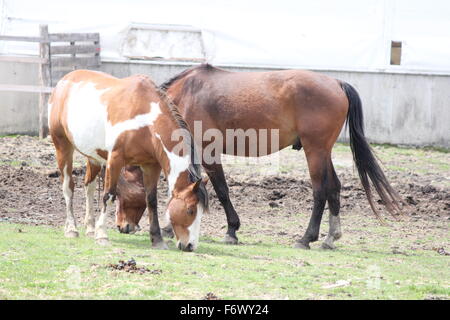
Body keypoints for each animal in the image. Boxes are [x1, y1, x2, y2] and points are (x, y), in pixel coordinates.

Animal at [48, 70, 210, 252]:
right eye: (190, 210)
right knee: (68, 187)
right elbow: (109, 195)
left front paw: (157, 240)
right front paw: (102, 235)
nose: (190, 245)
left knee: (89, 186)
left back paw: (89, 229)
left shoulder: (151, 166)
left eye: (201, 211)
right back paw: (71, 229)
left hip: (93, 156)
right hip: (62, 146)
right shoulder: (114, 160)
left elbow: (151, 201)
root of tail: (64, 81)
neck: (146, 121)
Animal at [117, 63, 404, 250]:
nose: (122, 227)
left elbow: (221, 191)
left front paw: (231, 230)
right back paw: (331, 237)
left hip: (315, 151)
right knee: (334, 187)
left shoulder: (208, 153)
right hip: (323, 152)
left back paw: (306, 238)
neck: (185, 97)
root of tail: (337, 83)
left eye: (119, 191)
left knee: (320, 191)